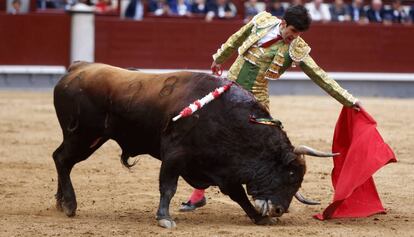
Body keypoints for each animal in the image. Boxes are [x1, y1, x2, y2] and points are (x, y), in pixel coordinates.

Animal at [52, 62, 308, 229]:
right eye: (291, 174)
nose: (279, 210)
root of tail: (77, 68)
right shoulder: (175, 155)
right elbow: (168, 187)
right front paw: (164, 218)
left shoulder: (222, 167)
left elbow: (238, 195)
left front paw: (259, 217)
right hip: (83, 135)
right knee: (62, 159)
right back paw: (70, 204)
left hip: (87, 138)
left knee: (62, 159)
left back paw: (60, 203)